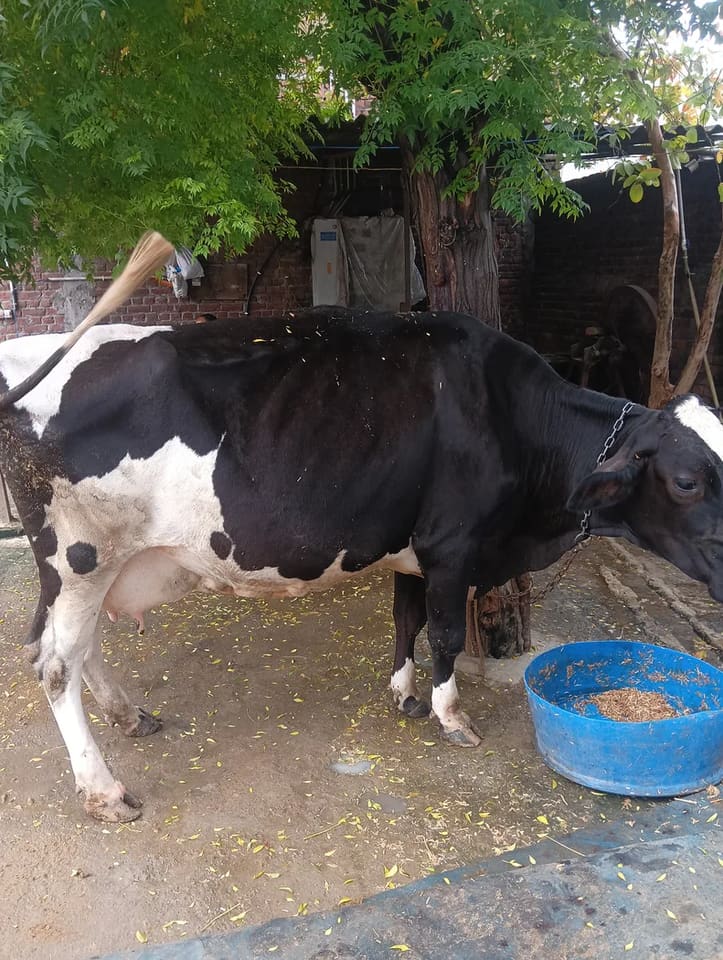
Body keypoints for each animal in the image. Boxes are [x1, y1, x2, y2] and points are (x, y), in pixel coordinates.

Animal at [1, 233, 723, 823]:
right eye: (687, 481)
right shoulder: (453, 544)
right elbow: (444, 634)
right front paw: (451, 716)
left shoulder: (413, 547)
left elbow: (405, 620)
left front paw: (403, 694)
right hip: (81, 556)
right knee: (56, 665)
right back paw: (105, 791)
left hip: (89, 566)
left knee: (75, 649)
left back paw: (130, 717)